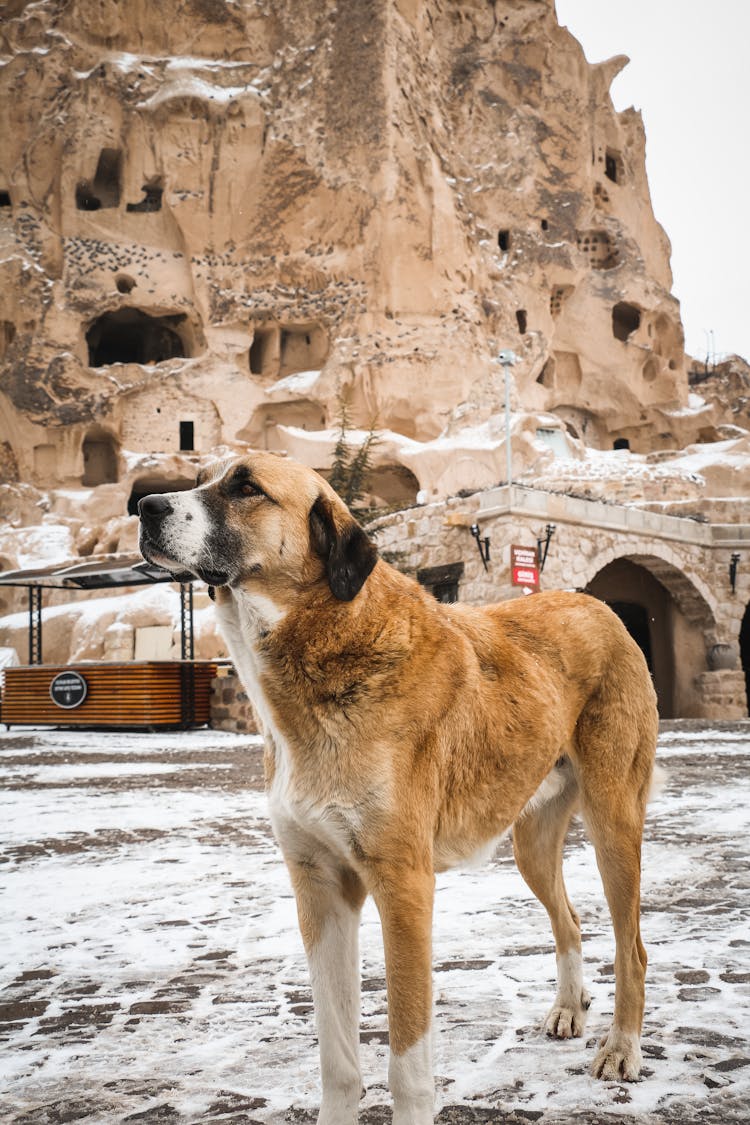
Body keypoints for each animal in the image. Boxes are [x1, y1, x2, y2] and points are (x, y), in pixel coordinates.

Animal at [137, 452, 661, 1120]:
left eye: (246, 486)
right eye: (204, 477)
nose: (144, 506)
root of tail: (601, 607)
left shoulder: (404, 886)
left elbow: (407, 1059)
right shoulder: (319, 889)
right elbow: (337, 1055)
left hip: (614, 822)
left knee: (633, 946)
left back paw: (621, 1048)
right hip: (531, 844)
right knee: (567, 917)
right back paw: (570, 1009)